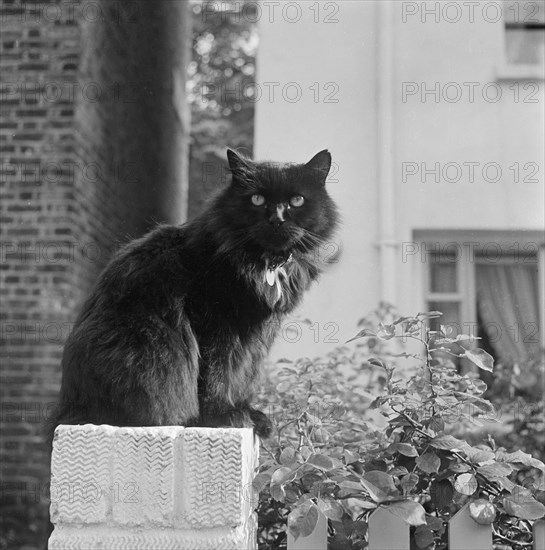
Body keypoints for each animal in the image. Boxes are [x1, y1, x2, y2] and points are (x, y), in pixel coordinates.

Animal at [52, 148, 340, 440]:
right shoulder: (214, 322)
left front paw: (250, 414)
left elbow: (244, 375)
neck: (265, 264)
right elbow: (217, 374)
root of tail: (65, 411)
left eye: (296, 200)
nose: (277, 219)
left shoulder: (259, 334)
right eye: (257, 199)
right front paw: (222, 415)